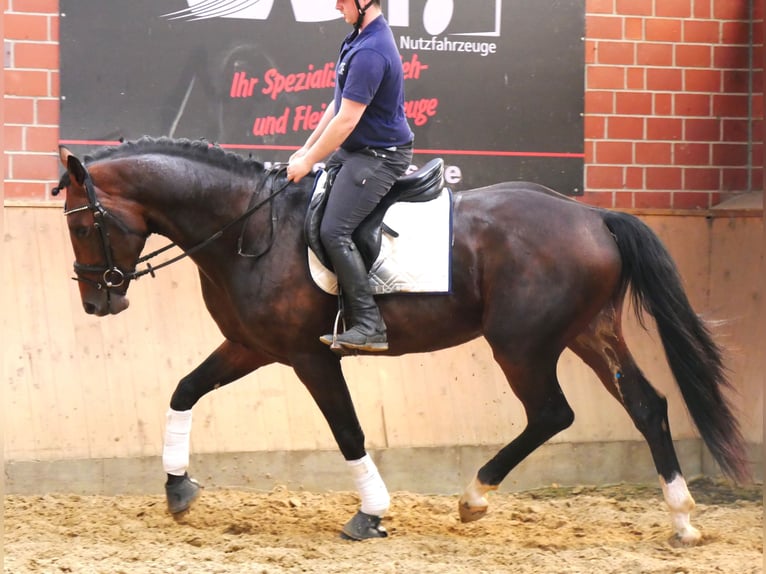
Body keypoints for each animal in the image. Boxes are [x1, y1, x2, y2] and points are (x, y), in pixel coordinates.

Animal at [55, 137, 752, 548]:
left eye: (85, 225)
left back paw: (474, 498)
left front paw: (372, 514)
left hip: (522, 344)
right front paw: (177, 489)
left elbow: (348, 431)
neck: (248, 226)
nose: (96, 302)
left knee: (553, 413)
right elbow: (184, 389)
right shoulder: (251, 345)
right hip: (588, 331)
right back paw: (682, 518)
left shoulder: (308, 355)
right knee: (647, 406)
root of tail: (593, 215)